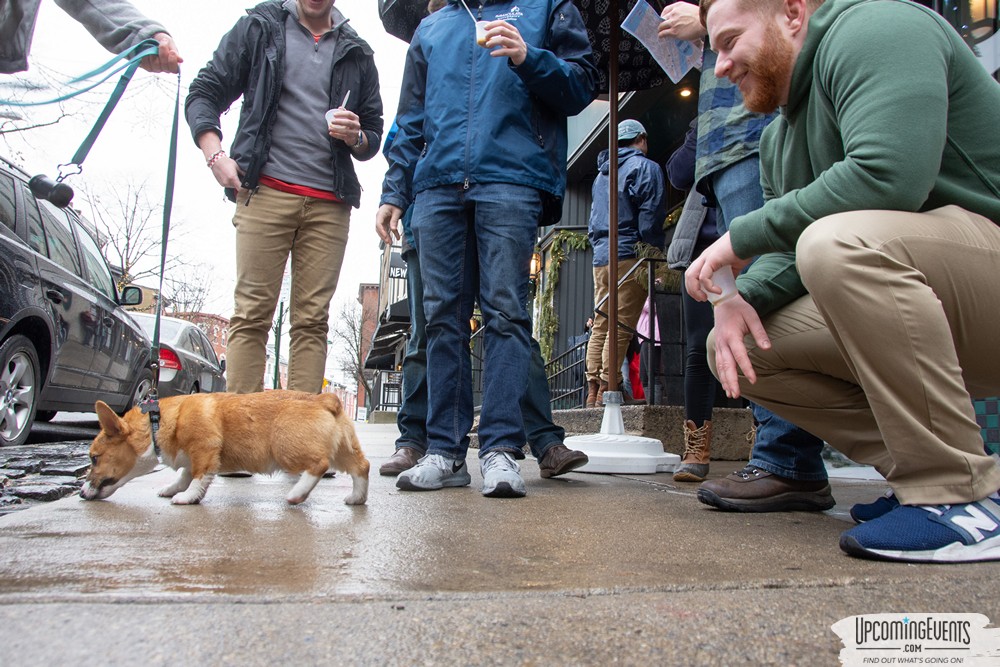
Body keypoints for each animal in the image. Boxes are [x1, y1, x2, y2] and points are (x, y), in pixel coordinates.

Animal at [78, 392, 368, 506]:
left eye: (94, 458)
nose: (80, 493)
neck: (156, 422)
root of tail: (326, 399)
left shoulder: (204, 449)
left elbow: (197, 478)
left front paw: (185, 498)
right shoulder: (189, 459)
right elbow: (182, 476)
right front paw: (170, 489)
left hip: (285, 447)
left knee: (318, 465)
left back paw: (296, 494)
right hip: (344, 450)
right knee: (361, 467)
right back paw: (356, 498)